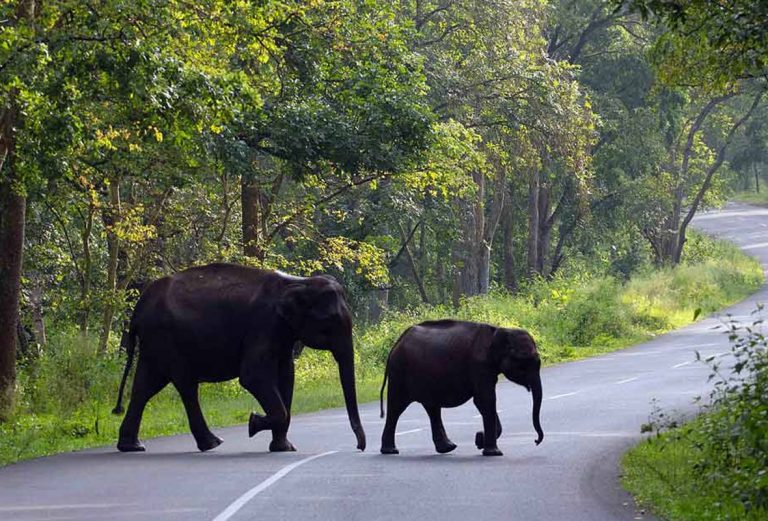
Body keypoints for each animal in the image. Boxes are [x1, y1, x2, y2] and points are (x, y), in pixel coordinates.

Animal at [112, 262, 368, 452]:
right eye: (329, 322)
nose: (359, 447)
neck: (298, 282)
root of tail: (137, 310)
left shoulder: (282, 333)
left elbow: (287, 376)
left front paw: (283, 448)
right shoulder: (263, 325)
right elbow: (253, 376)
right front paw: (253, 423)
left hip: (156, 343)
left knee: (146, 385)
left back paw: (132, 446)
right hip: (167, 339)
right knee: (184, 385)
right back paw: (212, 443)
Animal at [380, 316, 544, 456]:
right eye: (524, 363)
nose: (536, 441)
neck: (498, 331)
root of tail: (397, 343)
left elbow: (483, 401)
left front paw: (479, 440)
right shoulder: (479, 365)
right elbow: (485, 400)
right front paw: (492, 451)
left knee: (432, 408)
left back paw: (447, 448)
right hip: (399, 372)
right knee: (396, 407)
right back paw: (391, 451)